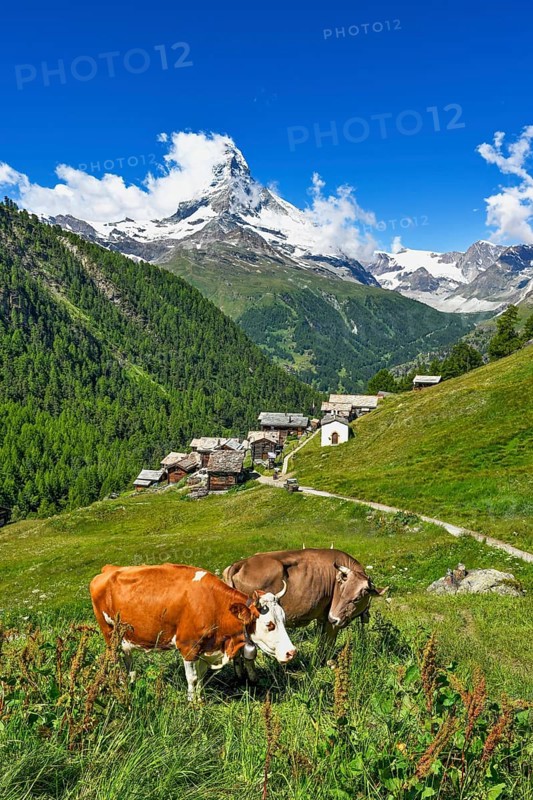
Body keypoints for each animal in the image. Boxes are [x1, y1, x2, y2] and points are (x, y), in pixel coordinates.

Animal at [90, 563, 296, 701]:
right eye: (269, 624)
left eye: (284, 619)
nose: (291, 652)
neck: (213, 604)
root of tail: (108, 569)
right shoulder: (187, 647)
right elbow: (193, 678)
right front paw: (192, 703)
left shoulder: (206, 648)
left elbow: (202, 677)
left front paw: (200, 699)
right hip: (109, 634)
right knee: (115, 659)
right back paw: (122, 684)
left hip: (125, 637)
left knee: (128, 658)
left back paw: (131, 681)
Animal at [223, 548, 387, 676]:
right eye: (342, 591)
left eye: (357, 598)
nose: (334, 617)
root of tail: (239, 564)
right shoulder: (332, 623)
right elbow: (329, 642)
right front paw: (327, 662)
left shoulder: (323, 617)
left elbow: (322, 641)